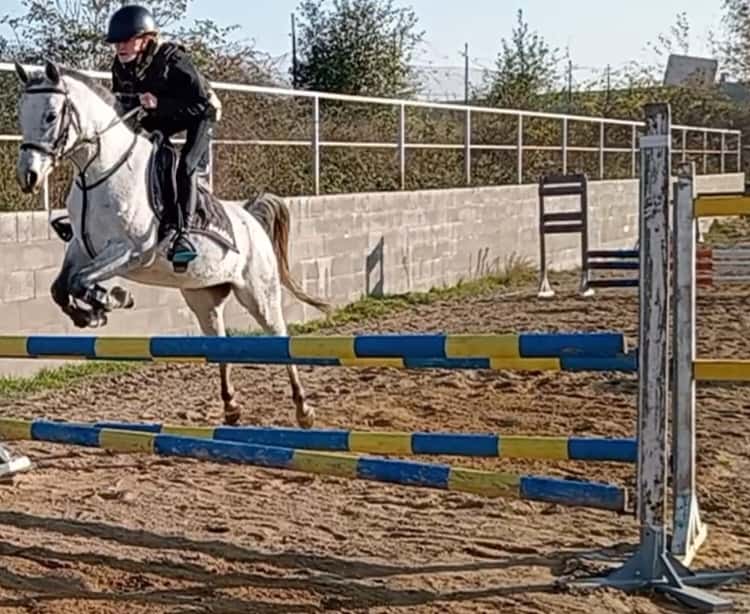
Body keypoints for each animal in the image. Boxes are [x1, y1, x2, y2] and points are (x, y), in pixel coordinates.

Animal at [13, 60, 331, 429]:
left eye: (51, 115)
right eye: (21, 114)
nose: (28, 177)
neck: (100, 172)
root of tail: (250, 218)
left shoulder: (132, 251)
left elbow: (80, 282)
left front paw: (111, 299)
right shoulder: (81, 248)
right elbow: (61, 287)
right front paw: (92, 312)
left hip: (259, 293)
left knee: (280, 337)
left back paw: (303, 409)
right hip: (202, 297)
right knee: (219, 341)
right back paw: (231, 407)